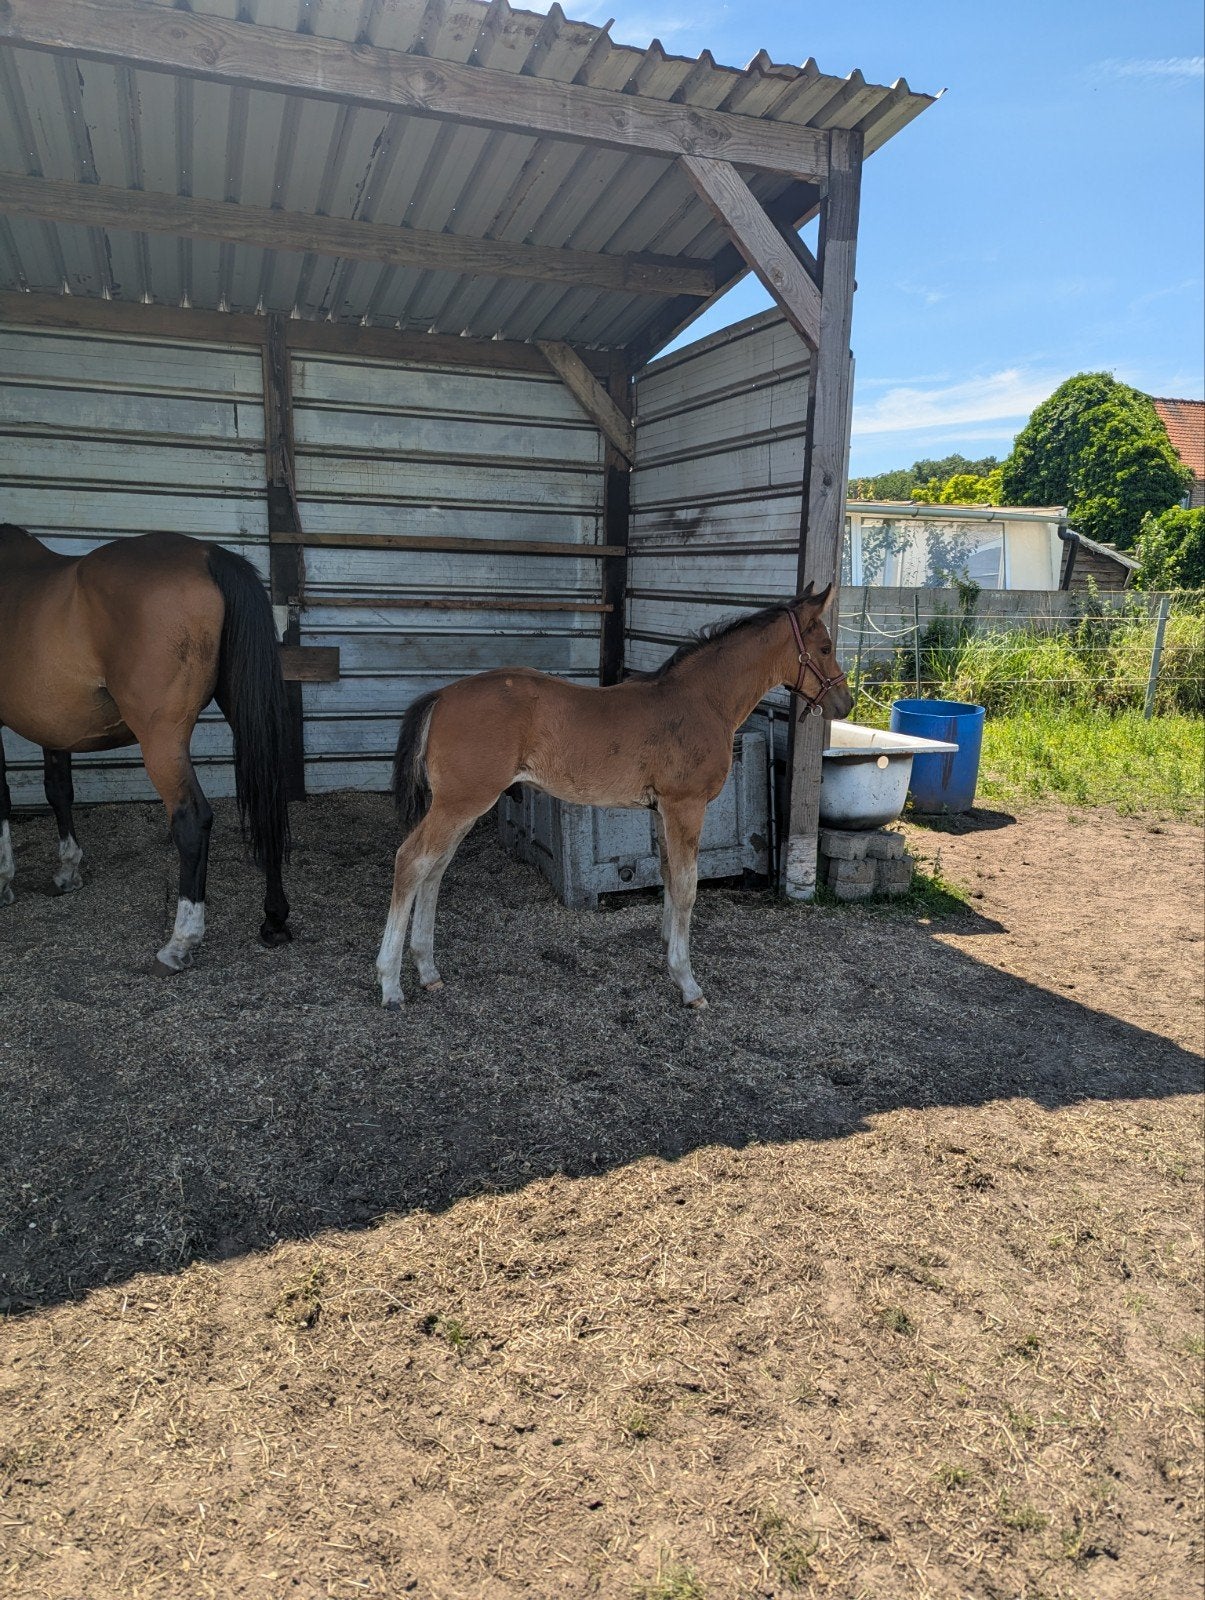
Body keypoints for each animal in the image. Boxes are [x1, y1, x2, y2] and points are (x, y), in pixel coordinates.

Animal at [0, 525, 292, 972]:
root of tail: (207, 554)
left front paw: (3, 881)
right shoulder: (54, 726)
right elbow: (58, 790)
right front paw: (68, 871)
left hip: (161, 737)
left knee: (191, 818)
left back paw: (179, 943)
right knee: (267, 799)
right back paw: (274, 919)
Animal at [374, 583, 851, 1011]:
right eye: (826, 646)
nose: (844, 704)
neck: (701, 701)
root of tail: (441, 695)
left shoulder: (661, 810)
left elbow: (668, 875)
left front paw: (667, 949)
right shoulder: (685, 806)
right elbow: (688, 885)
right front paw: (687, 982)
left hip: (462, 805)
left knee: (435, 869)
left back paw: (428, 971)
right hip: (461, 802)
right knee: (411, 861)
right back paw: (390, 984)